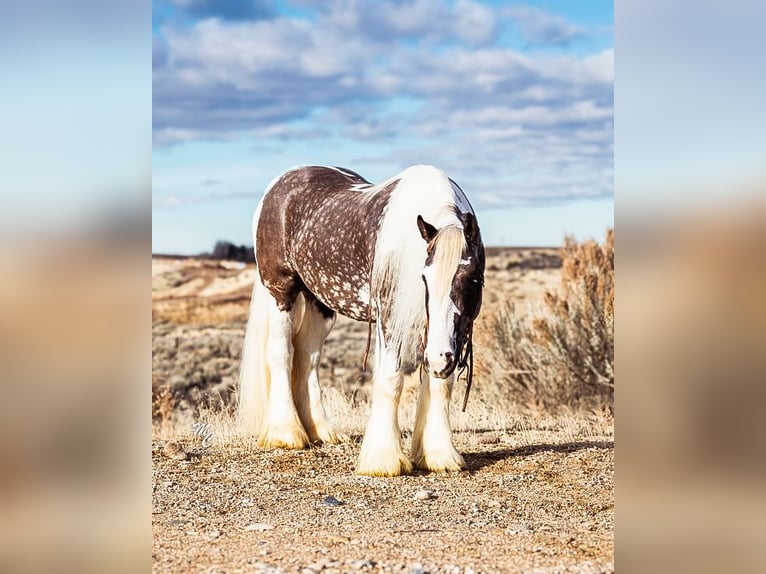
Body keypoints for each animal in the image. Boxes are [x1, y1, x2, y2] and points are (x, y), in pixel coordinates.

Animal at [238, 164, 485, 476]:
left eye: (473, 280)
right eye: (425, 278)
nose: (440, 359)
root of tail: (279, 184)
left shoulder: (450, 333)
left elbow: (441, 383)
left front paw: (438, 455)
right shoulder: (389, 316)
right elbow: (390, 380)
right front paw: (384, 460)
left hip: (320, 303)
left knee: (308, 358)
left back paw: (321, 430)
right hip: (281, 292)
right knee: (282, 353)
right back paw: (286, 434)